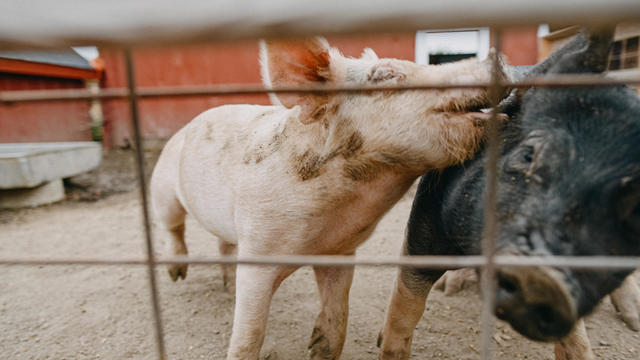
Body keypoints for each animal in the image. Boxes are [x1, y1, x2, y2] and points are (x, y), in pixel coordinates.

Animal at [378, 28, 636, 360]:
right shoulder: (425, 222)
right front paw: (386, 346)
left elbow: (575, 337)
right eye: (529, 154)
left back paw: (634, 321)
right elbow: (406, 306)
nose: (543, 277)